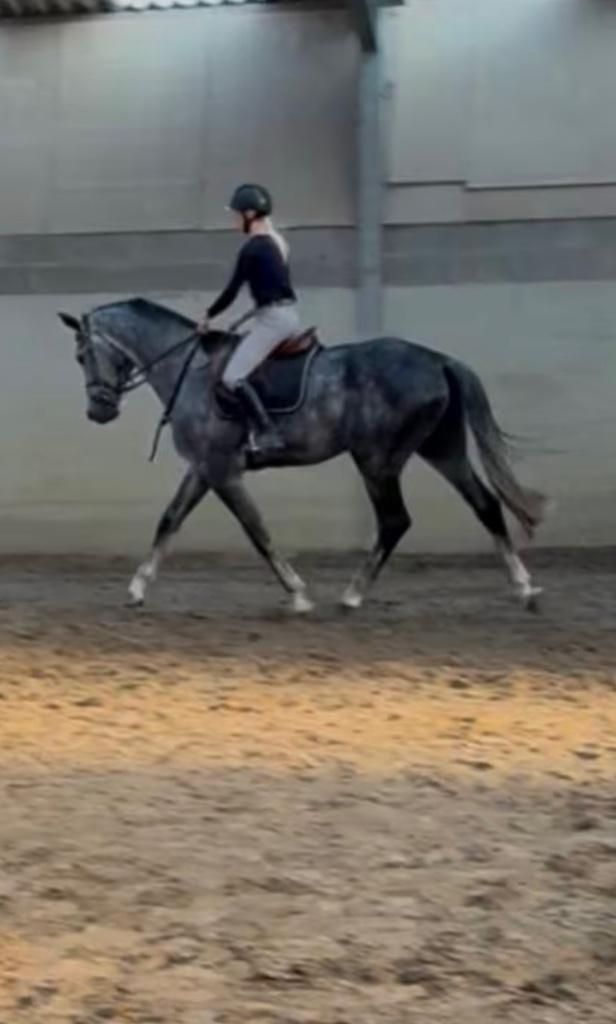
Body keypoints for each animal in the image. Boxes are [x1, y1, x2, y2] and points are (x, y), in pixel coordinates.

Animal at [59, 298, 546, 613]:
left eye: (83, 354)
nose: (98, 411)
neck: (189, 371)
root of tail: (438, 360)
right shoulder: (202, 468)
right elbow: (169, 520)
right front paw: (136, 589)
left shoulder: (221, 471)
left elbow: (257, 531)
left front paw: (298, 593)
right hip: (441, 449)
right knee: (484, 504)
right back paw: (523, 588)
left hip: (376, 459)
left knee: (395, 520)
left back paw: (352, 595)